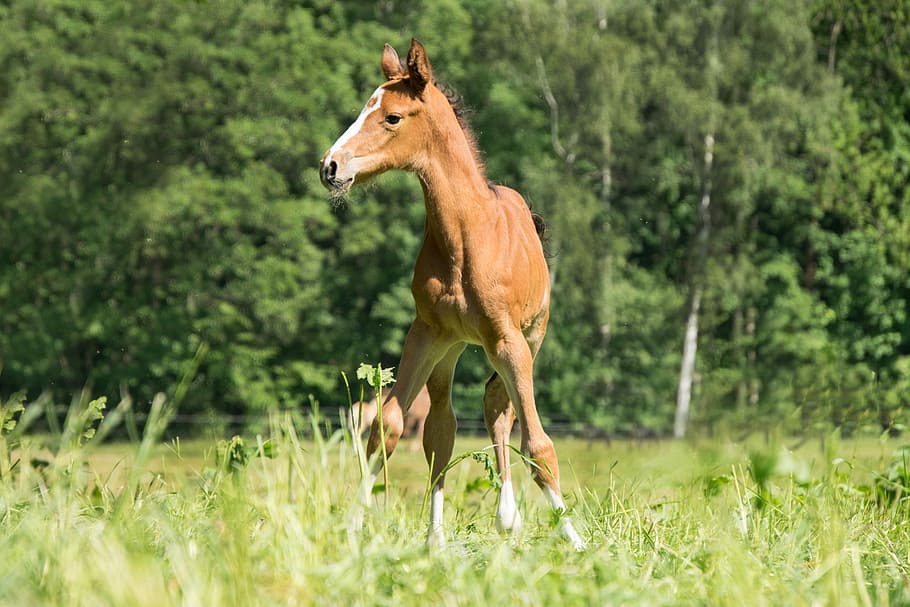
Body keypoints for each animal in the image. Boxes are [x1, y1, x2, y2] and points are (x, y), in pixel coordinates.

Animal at [320, 39, 583, 550]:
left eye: (392, 117)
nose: (330, 167)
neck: (465, 235)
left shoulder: (509, 340)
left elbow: (538, 443)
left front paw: (578, 542)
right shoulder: (425, 333)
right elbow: (389, 426)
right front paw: (355, 528)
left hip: (528, 338)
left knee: (499, 409)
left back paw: (507, 517)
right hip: (451, 349)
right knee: (443, 429)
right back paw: (438, 536)